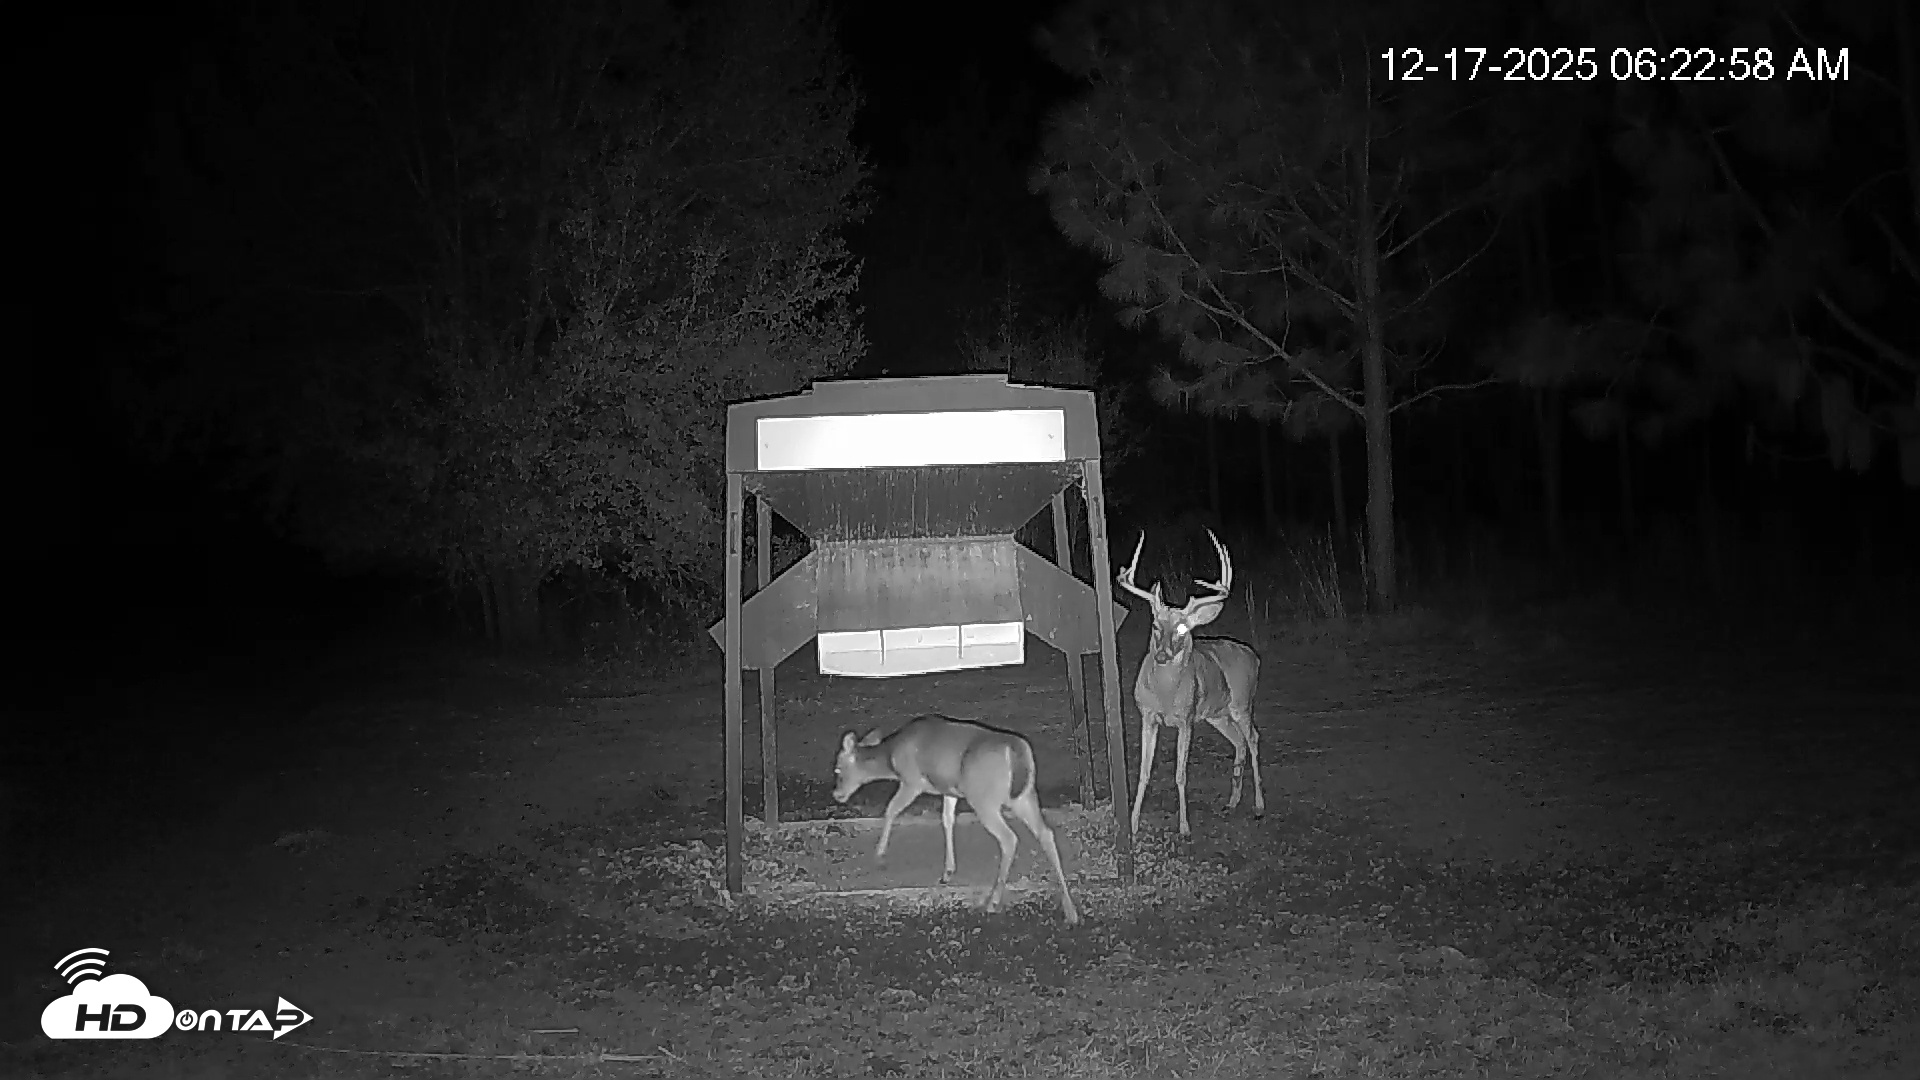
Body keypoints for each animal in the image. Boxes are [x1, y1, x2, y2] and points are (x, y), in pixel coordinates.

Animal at [831, 714, 1081, 925]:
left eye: (838, 770)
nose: (837, 794)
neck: (891, 757)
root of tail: (1016, 751)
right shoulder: (949, 790)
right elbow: (947, 819)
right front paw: (948, 871)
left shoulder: (912, 781)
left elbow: (891, 810)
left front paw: (880, 854)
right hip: (1025, 796)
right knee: (1045, 833)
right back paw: (1070, 910)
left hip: (983, 798)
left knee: (1009, 838)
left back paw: (993, 902)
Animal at [1116, 528, 1265, 838]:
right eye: (1156, 625)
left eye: (1183, 628)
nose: (1161, 654)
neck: (1165, 694)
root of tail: (1253, 657)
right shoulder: (1148, 716)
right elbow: (1143, 772)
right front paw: (1133, 825)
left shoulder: (1185, 719)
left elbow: (1181, 774)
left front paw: (1184, 827)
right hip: (1216, 715)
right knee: (1239, 742)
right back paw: (1232, 802)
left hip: (1242, 703)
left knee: (1254, 738)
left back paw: (1258, 806)